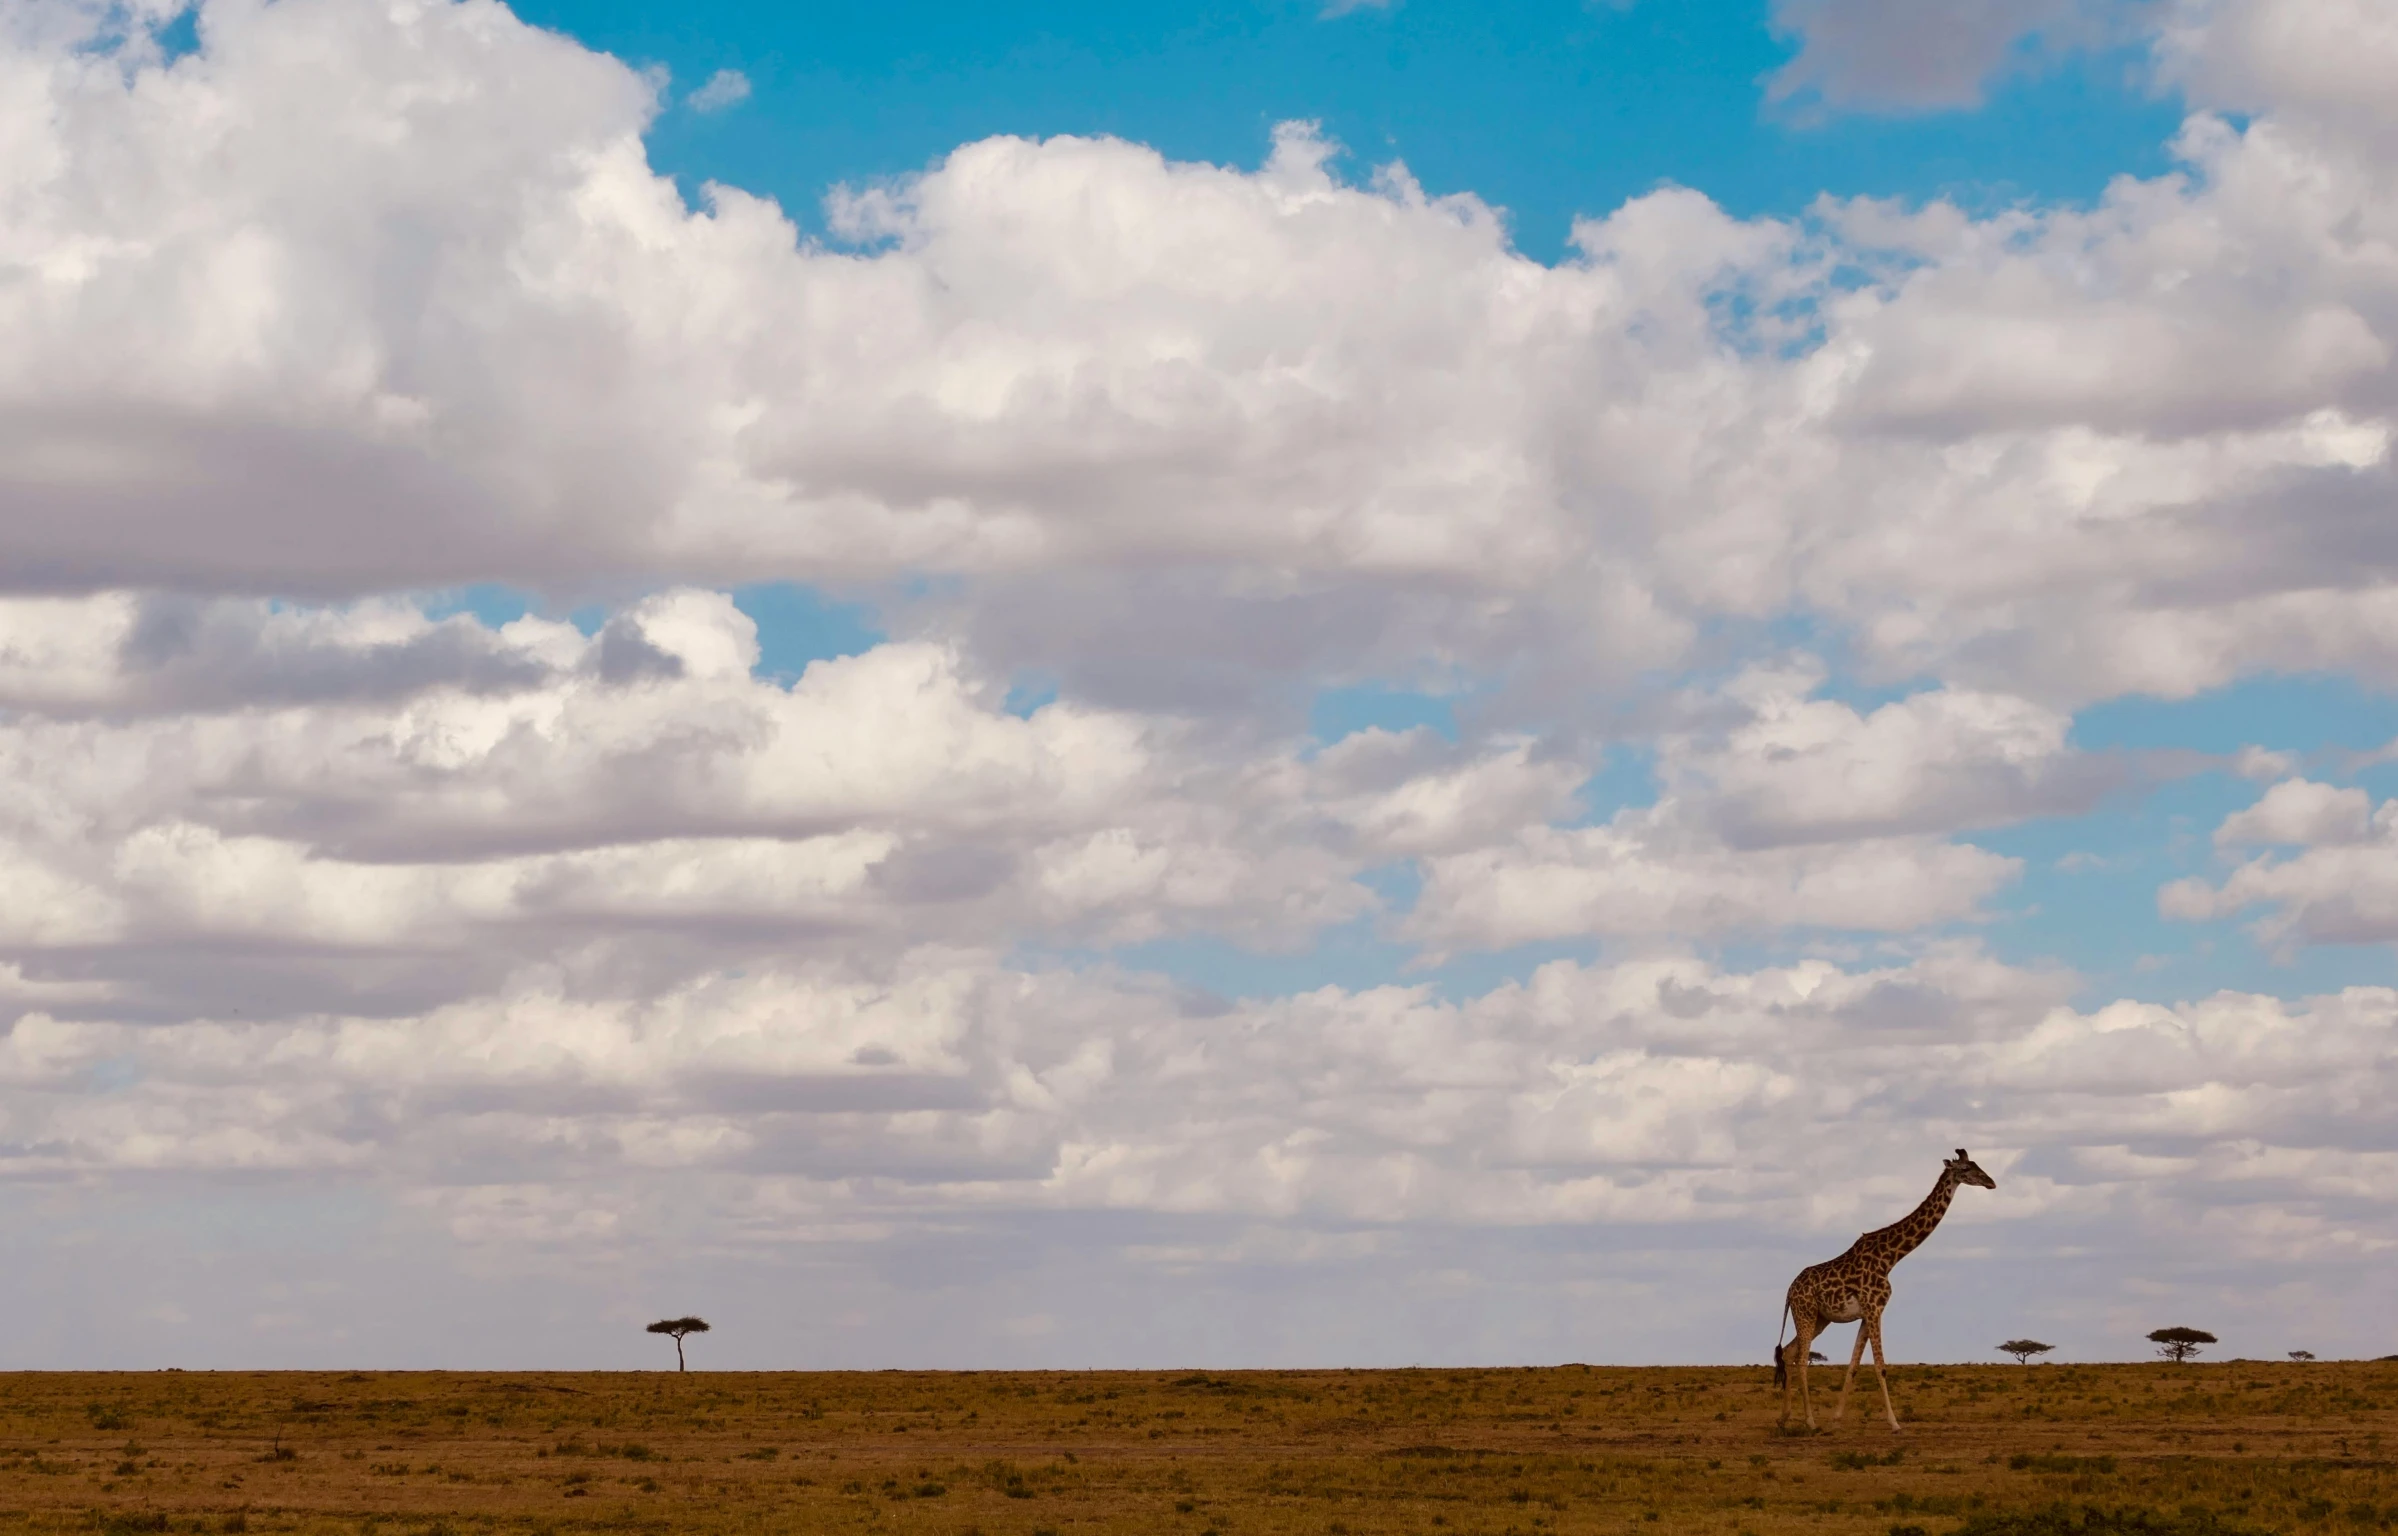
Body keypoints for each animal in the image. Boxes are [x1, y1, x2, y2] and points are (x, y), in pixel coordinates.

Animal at [1774, 1145, 1995, 1428]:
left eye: (1978, 1165)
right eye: (1966, 1169)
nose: (1991, 1182)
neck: (1891, 1258)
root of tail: (1789, 1291)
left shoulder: (1868, 1313)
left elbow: (1854, 1366)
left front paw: (1836, 1418)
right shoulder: (1874, 1309)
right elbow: (1880, 1366)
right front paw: (1895, 1423)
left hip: (1820, 1319)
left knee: (1788, 1353)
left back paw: (1784, 1418)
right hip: (1806, 1313)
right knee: (1801, 1359)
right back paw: (1810, 1422)